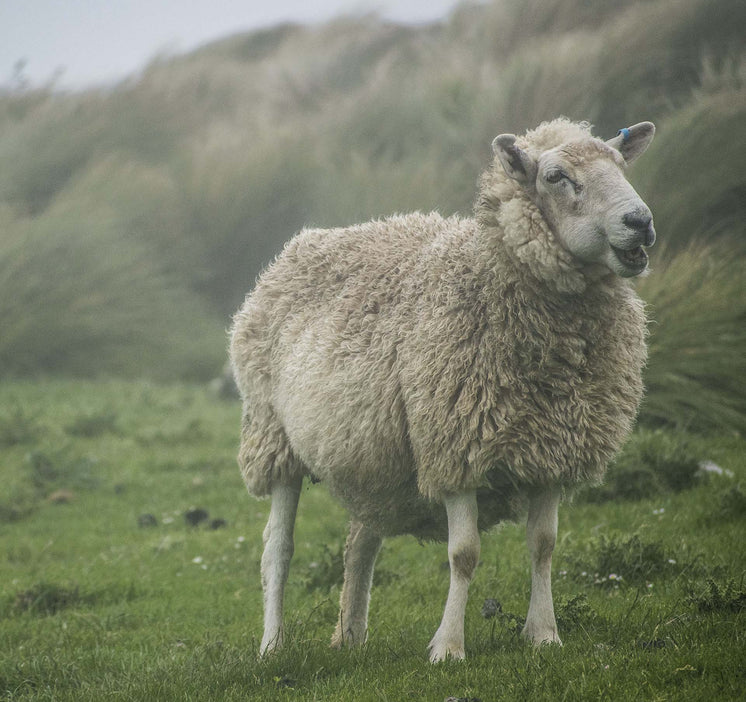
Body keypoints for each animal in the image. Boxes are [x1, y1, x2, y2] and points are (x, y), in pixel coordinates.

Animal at [230, 118, 652, 664]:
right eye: (556, 176)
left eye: (621, 165)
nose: (640, 221)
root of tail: (298, 246)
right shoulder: (455, 446)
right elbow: (464, 554)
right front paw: (449, 647)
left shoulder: (552, 449)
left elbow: (543, 545)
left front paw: (544, 635)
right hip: (272, 436)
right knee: (277, 549)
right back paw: (272, 645)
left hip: (372, 458)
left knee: (359, 541)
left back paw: (351, 636)